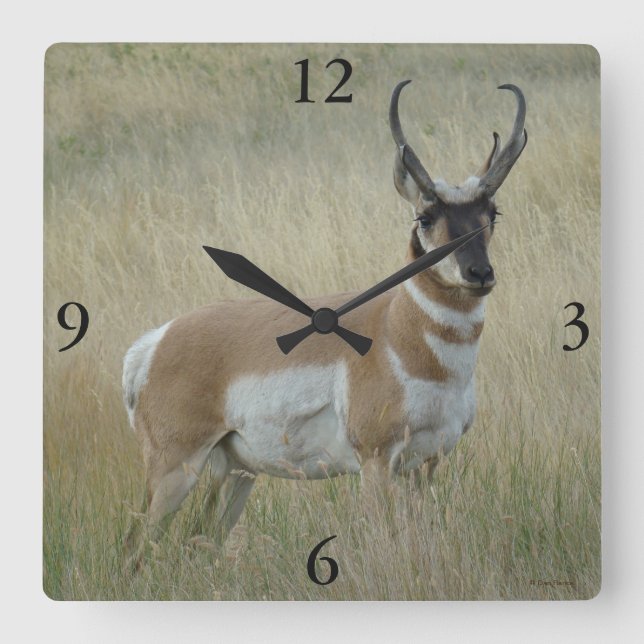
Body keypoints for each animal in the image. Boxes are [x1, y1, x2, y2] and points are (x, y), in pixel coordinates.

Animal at [123, 81, 527, 563]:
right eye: (425, 217)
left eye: (493, 214)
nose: (479, 273)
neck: (401, 336)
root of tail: (155, 342)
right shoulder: (375, 461)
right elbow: (385, 537)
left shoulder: (426, 463)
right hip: (174, 468)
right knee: (135, 546)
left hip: (235, 472)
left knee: (199, 540)